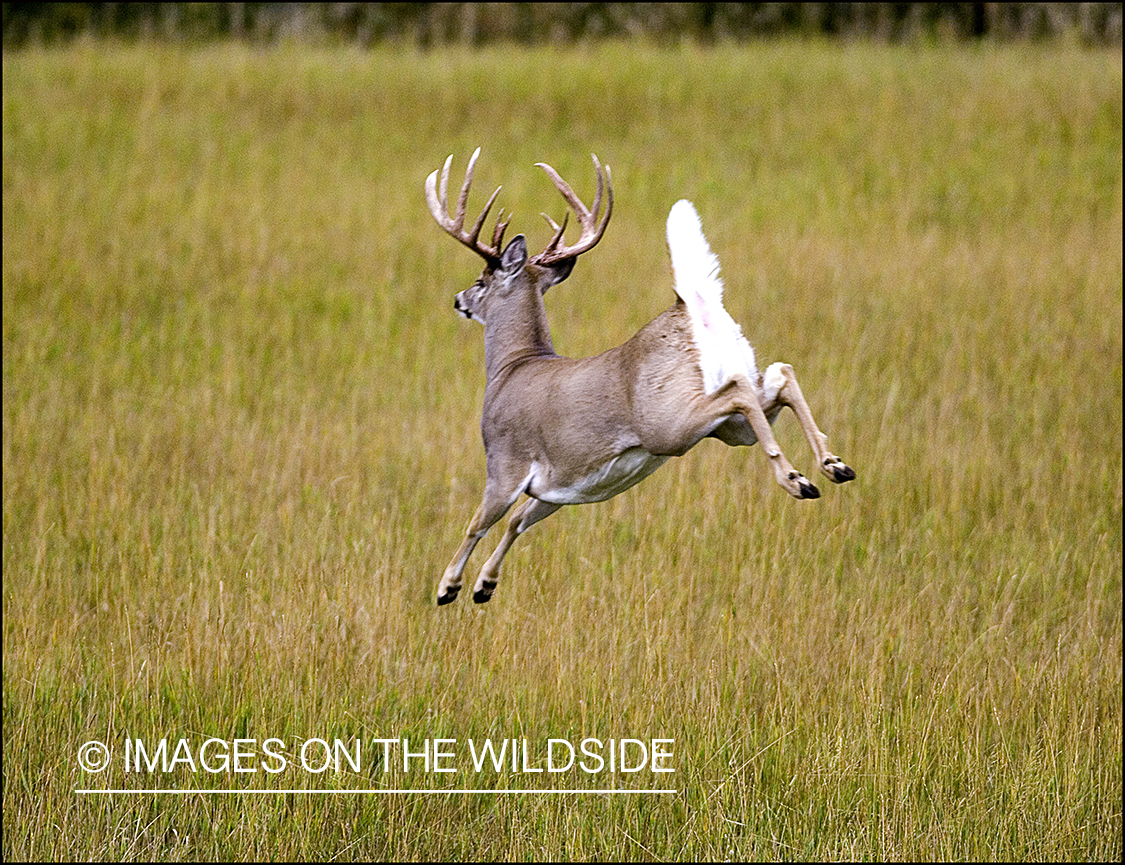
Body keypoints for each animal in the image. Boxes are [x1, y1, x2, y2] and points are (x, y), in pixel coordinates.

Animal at [423, 148, 850, 602]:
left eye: (480, 280)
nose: (457, 300)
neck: (512, 366)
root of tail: (689, 307)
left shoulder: (506, 463)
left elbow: (478, 523)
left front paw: (448, 586)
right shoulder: (558, 487)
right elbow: (518, 522)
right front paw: (484, 586)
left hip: (668, 424)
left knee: (740, 392)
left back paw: (796, 479)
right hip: (731, 424)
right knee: (780, 375)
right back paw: (833, 465)